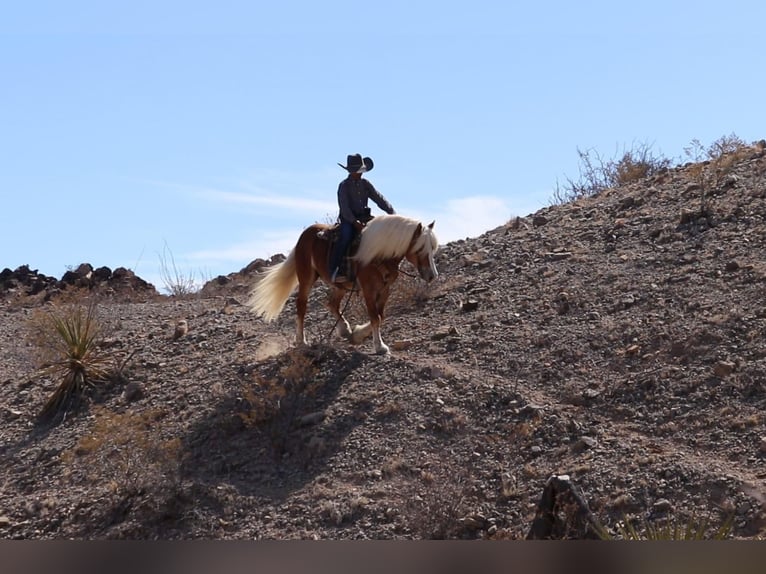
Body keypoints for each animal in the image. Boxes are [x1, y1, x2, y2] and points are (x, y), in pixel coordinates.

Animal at [249, 214, 440, 354]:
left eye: (432, 249)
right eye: (420, 249)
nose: (432, 275)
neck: (379, 254)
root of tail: (306, 235)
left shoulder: (385, 289)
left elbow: (381, 316)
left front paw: (358, 334)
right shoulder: (368, 290)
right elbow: (375, 317)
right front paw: (379, 346)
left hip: (340, 285)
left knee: (332, 303)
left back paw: (344, 329)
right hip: (306, 278)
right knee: (301, 306)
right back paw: (301, 341)